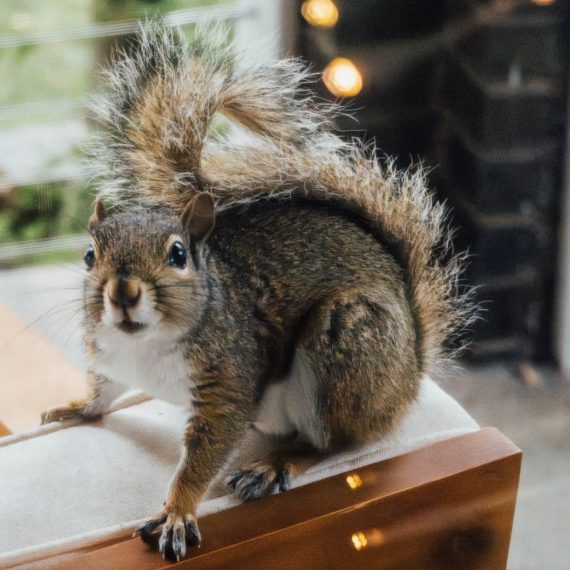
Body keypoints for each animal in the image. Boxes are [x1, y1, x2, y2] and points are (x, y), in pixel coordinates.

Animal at [42, 23, 470, 560]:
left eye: (178, 254)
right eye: (88, 255)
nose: (121, 293)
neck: (145, 346)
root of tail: (411, 369)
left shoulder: (229, 381)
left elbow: (204, 455)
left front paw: (177, 512)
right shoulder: (112, 358)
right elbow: (104, 392)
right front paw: (77, 407)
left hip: (346, 344)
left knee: (335, 443)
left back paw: (275, 465)